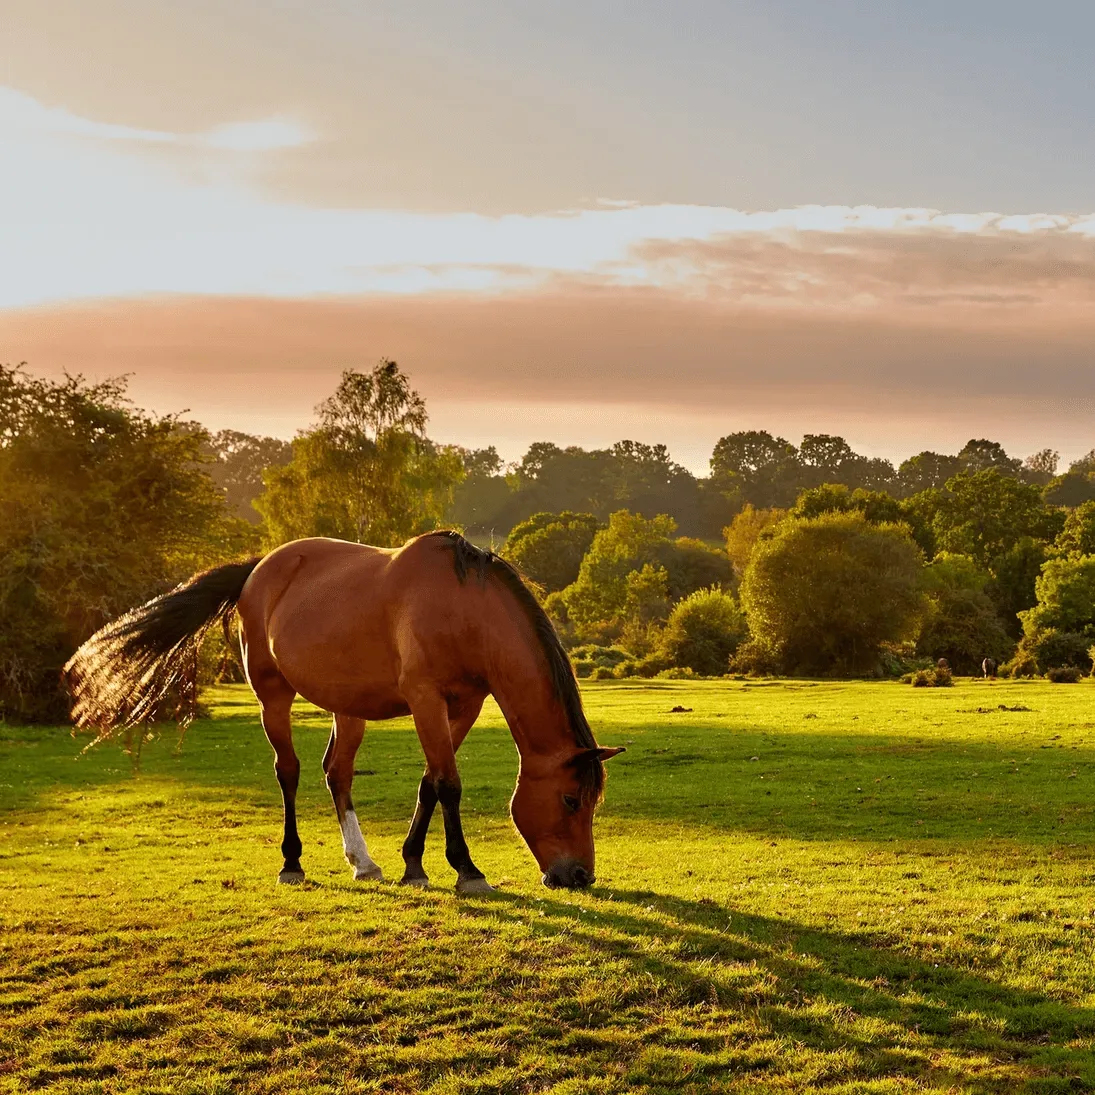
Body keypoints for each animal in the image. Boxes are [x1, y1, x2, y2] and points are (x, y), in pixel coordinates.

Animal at [64, 531, 624, 892]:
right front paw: (467, 871)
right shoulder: (425, 701)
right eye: (571, 799)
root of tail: (258, 569)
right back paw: (292, 863)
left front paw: (413, 866)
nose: (580, 876)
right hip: (273, 696)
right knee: (288, 771)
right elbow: (448, 784)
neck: (465, 610)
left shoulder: (463, 706)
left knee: (338, 773)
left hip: (346, 707)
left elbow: (430, 781)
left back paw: (363, 862)